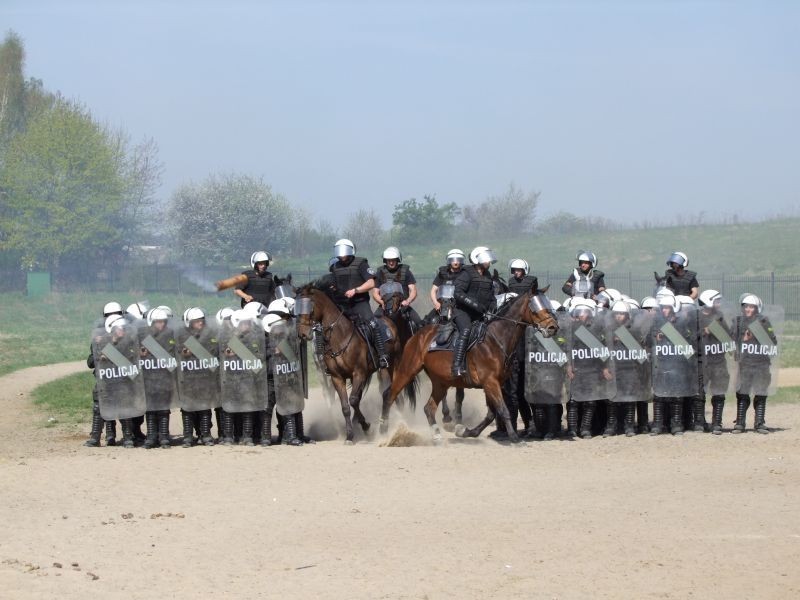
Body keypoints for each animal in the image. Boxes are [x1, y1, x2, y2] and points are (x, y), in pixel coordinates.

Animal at [296, 278, 400, 442]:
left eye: (309, 306)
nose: (302, 334)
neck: (340, 337)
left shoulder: (358, 373)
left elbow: (353, 401)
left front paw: (366, 427)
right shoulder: (337, 378)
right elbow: (346, 406)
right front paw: (351, 435)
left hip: (389, 366)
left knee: (387, 392)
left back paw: (384, 427)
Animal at [376, 288, 556, 442]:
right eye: (536, 307)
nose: (553, 327)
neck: (496, 340)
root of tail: (416, 336)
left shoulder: (493, 384)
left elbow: (491, 414)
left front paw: (467, 432)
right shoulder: (490, 382)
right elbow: (503, 409)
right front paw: (514, 437)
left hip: (440, 382)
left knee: (429, 408)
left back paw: (436, 435)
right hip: (407, 370)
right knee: (389, 395)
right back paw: (384, 431)